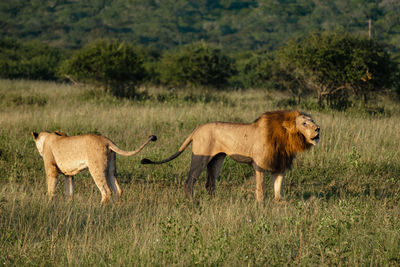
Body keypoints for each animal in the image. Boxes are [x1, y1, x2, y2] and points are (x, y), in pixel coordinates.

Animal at [141, 110, 318, 202]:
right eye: (304, 123)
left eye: (312, 120)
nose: (318, 129)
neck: (286, 139)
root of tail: (197, 128)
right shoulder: (259, 165)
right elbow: (260, 189)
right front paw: (260, 206)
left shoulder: (280, 166)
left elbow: (277, 189)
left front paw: (278, 205)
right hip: (200, 157)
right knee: (189, 181)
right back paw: (191, 203)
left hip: (217, 159)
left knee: (210, 184)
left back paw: (213, 202)